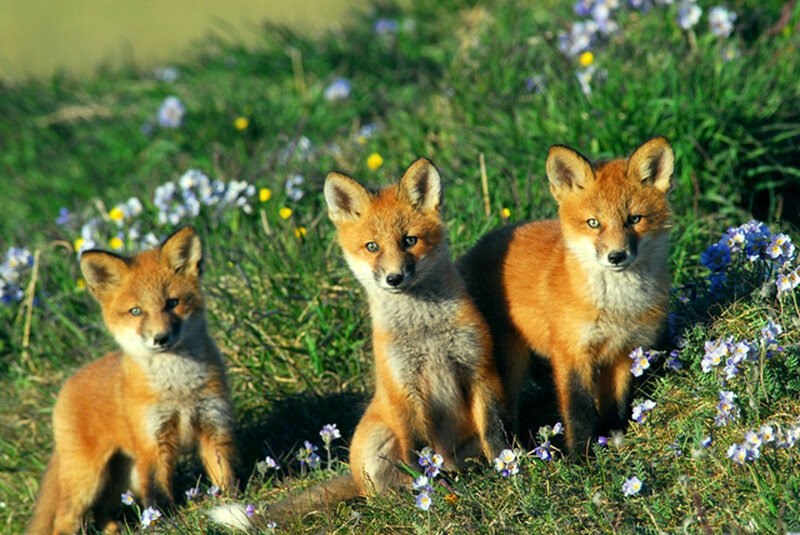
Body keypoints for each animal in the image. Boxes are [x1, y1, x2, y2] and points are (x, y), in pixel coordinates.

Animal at [27, 226, 238, 535]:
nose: (161, 338)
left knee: (101, 512)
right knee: (64, 520)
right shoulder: (153, 443)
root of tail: (70, 380)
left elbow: (225, 476)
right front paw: (165, 522)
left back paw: (113, 528)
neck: (179, 390)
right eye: (136, 311)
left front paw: (233, 505)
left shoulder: (214, 424)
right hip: (88, 479)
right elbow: (158, 496)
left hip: (122, 478)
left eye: (172, 303)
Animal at [209, 158, 505, 531]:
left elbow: (495, 432)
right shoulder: (404, 389)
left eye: (410, 241)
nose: (394, 278)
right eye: (372, 247)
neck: (426, 331)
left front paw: (512, 467)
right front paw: (428, 490)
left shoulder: (480, 369)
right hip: (378, 437)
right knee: (380, 489)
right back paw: (408, 495)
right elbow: (419, 453)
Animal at [458, 137, 673, 456]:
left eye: (634, 219)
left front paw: (613, 440)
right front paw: (581, 457)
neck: (616, 308)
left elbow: (616, 404)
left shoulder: (624, 352)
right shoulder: (571, 352)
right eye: (593, 223)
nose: (616, 256)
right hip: (506, 367)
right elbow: (578, 410)